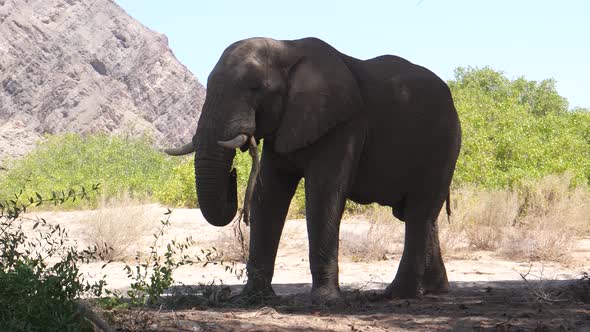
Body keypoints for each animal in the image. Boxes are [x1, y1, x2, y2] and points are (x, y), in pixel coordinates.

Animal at [166, 37, 462, 300]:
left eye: (255, 87)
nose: (233, 176)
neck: (286, 48)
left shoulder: (344, 125)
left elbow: (323, 193)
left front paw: (324, 299)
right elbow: (269, 195)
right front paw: (254, 297)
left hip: (443, 142)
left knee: (419, 213)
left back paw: (399, 294)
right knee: (422, 215)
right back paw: (434, 289)